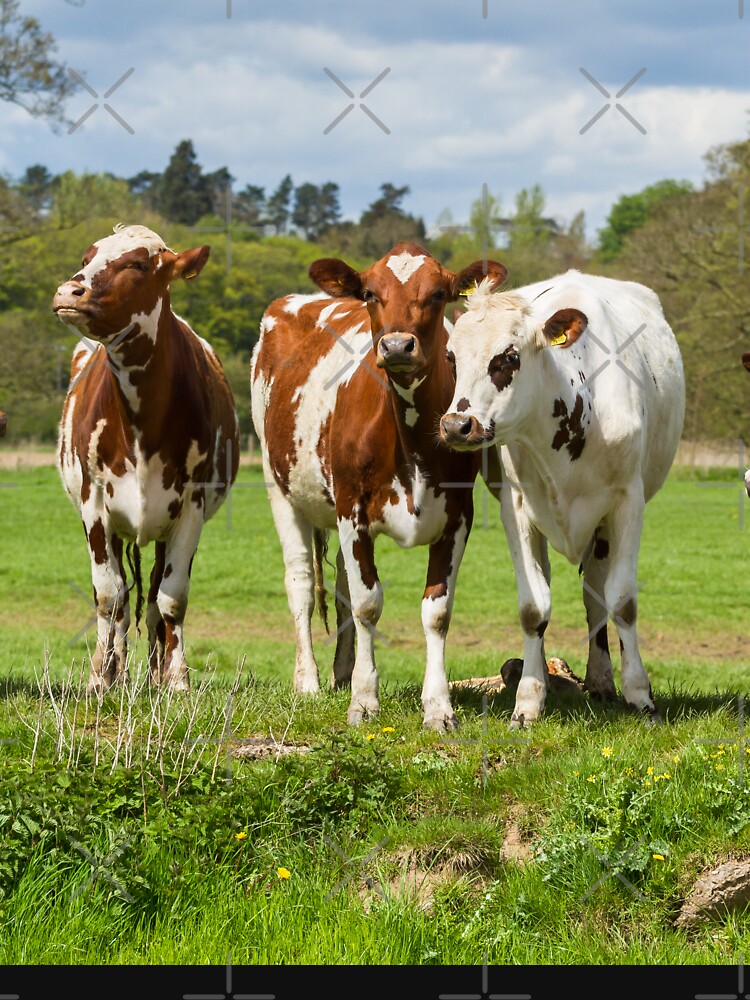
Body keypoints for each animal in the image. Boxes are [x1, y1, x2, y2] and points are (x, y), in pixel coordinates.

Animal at [53, 227, 238, 696]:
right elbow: (108, 595)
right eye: (86, 258)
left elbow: (171, 597)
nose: (69, 291)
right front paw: (100, 676)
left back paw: (155, 671)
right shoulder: (94, 506)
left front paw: (176, 678)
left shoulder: (190, 508)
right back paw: (118, 670)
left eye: (137, 264)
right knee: (120, 600)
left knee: (153, 594)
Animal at [250, 241, 508, 728]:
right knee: (301, 584)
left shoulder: (457, 518)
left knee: (341, 587)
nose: (396, 345)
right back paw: (309, 680)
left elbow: (436, 611)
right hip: (280, 488)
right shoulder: (352, 512)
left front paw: (438, 707)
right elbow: (368, 603)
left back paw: (341, 672)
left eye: (439, 294)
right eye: (370, 293)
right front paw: (364, 700)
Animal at [440, 270, 688, 732]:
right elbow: (533, 607)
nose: (457, 425)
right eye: (451, 358)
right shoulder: (516, 509)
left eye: (509, 356)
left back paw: (604, 681)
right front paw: (527, 702)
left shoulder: (628, 502)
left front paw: (640, 695)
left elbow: (622, 601)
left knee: (596, 598)